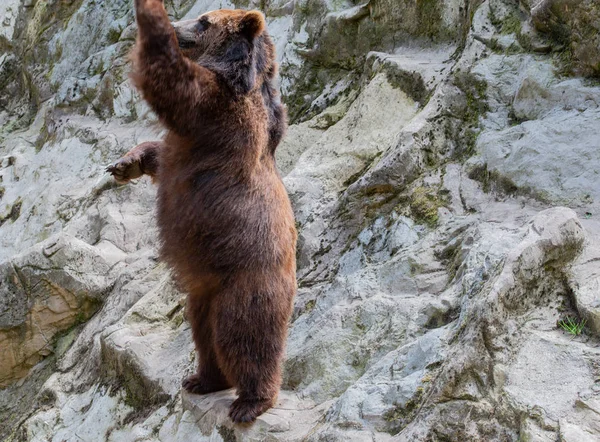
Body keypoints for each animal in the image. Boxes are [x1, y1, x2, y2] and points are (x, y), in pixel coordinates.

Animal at [107, 0, 298, 424]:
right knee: (205, 336)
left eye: (204, 20)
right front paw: (125, 164)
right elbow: (161, 150)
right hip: (204, 294)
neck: (238, 78)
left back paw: (250, 401)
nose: (179, 27)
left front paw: (149, 15)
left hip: (246, 281)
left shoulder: (218, 111)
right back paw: (202, 379)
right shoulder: (195, 135)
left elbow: (170, 83)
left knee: (245, 339)